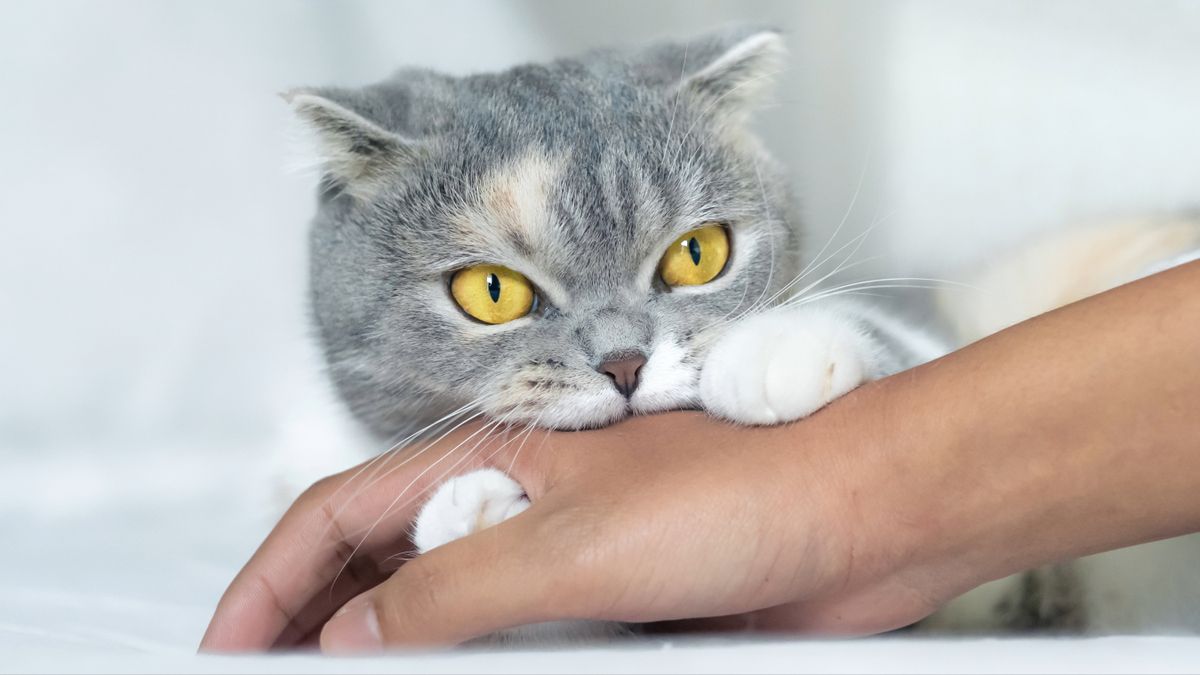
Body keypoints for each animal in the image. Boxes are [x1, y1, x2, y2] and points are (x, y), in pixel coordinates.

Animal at [292, 24, 1200, 634]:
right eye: (490, 291)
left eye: (697, 253)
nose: (625, 362)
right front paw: (470, 512)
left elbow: (872, 332)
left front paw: (773, 349)